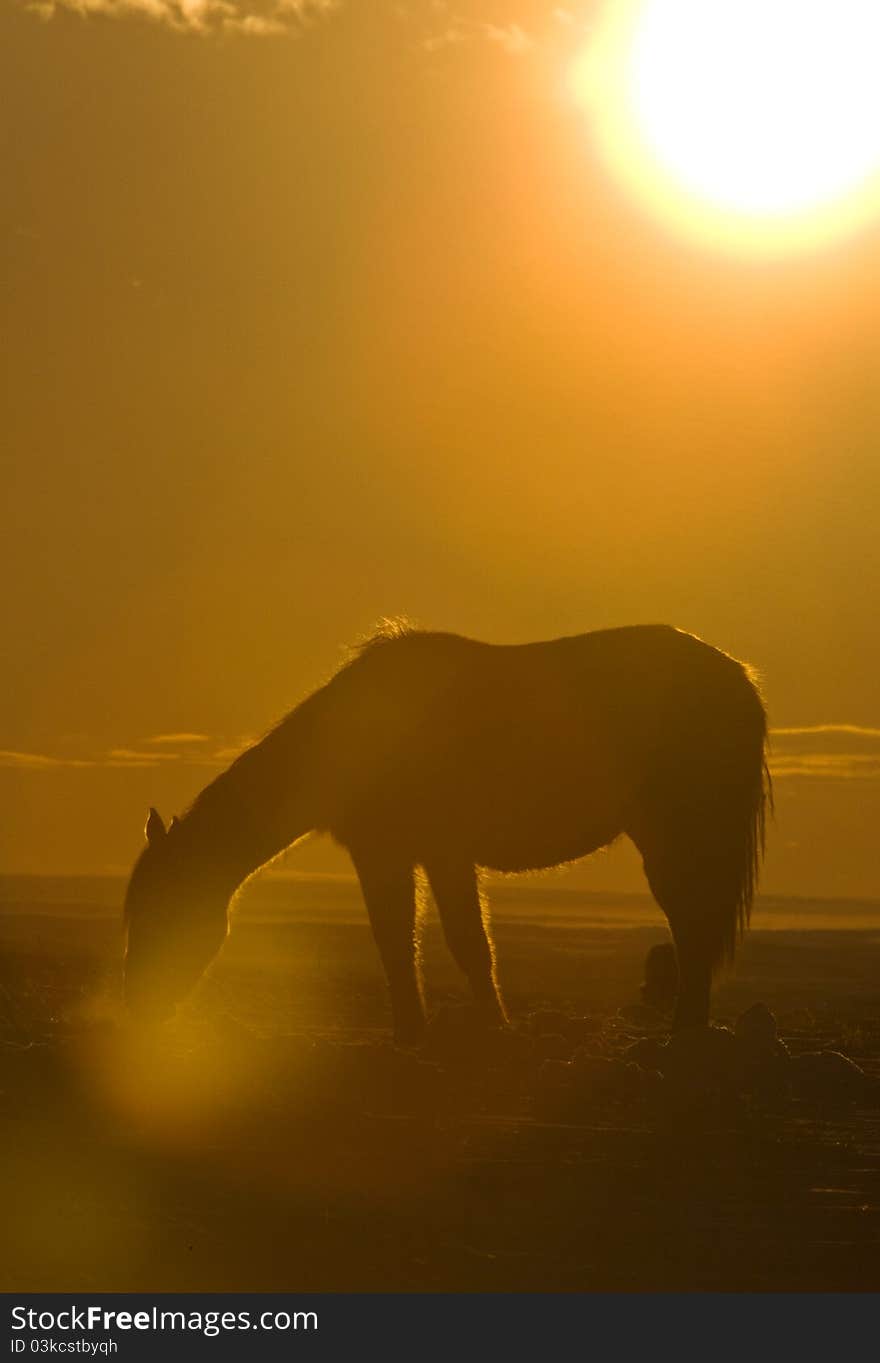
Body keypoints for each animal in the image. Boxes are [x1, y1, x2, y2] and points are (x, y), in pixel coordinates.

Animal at [123, 624, 773, 1035]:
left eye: (160, 911)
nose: (140, 1007)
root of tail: (738, 678)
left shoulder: (396, 853)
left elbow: (416, 941)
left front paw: (429, 1032)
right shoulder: (433, 856)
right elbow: (454, 943)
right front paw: (475, 1024)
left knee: (691, 921)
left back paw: (684, 1030)